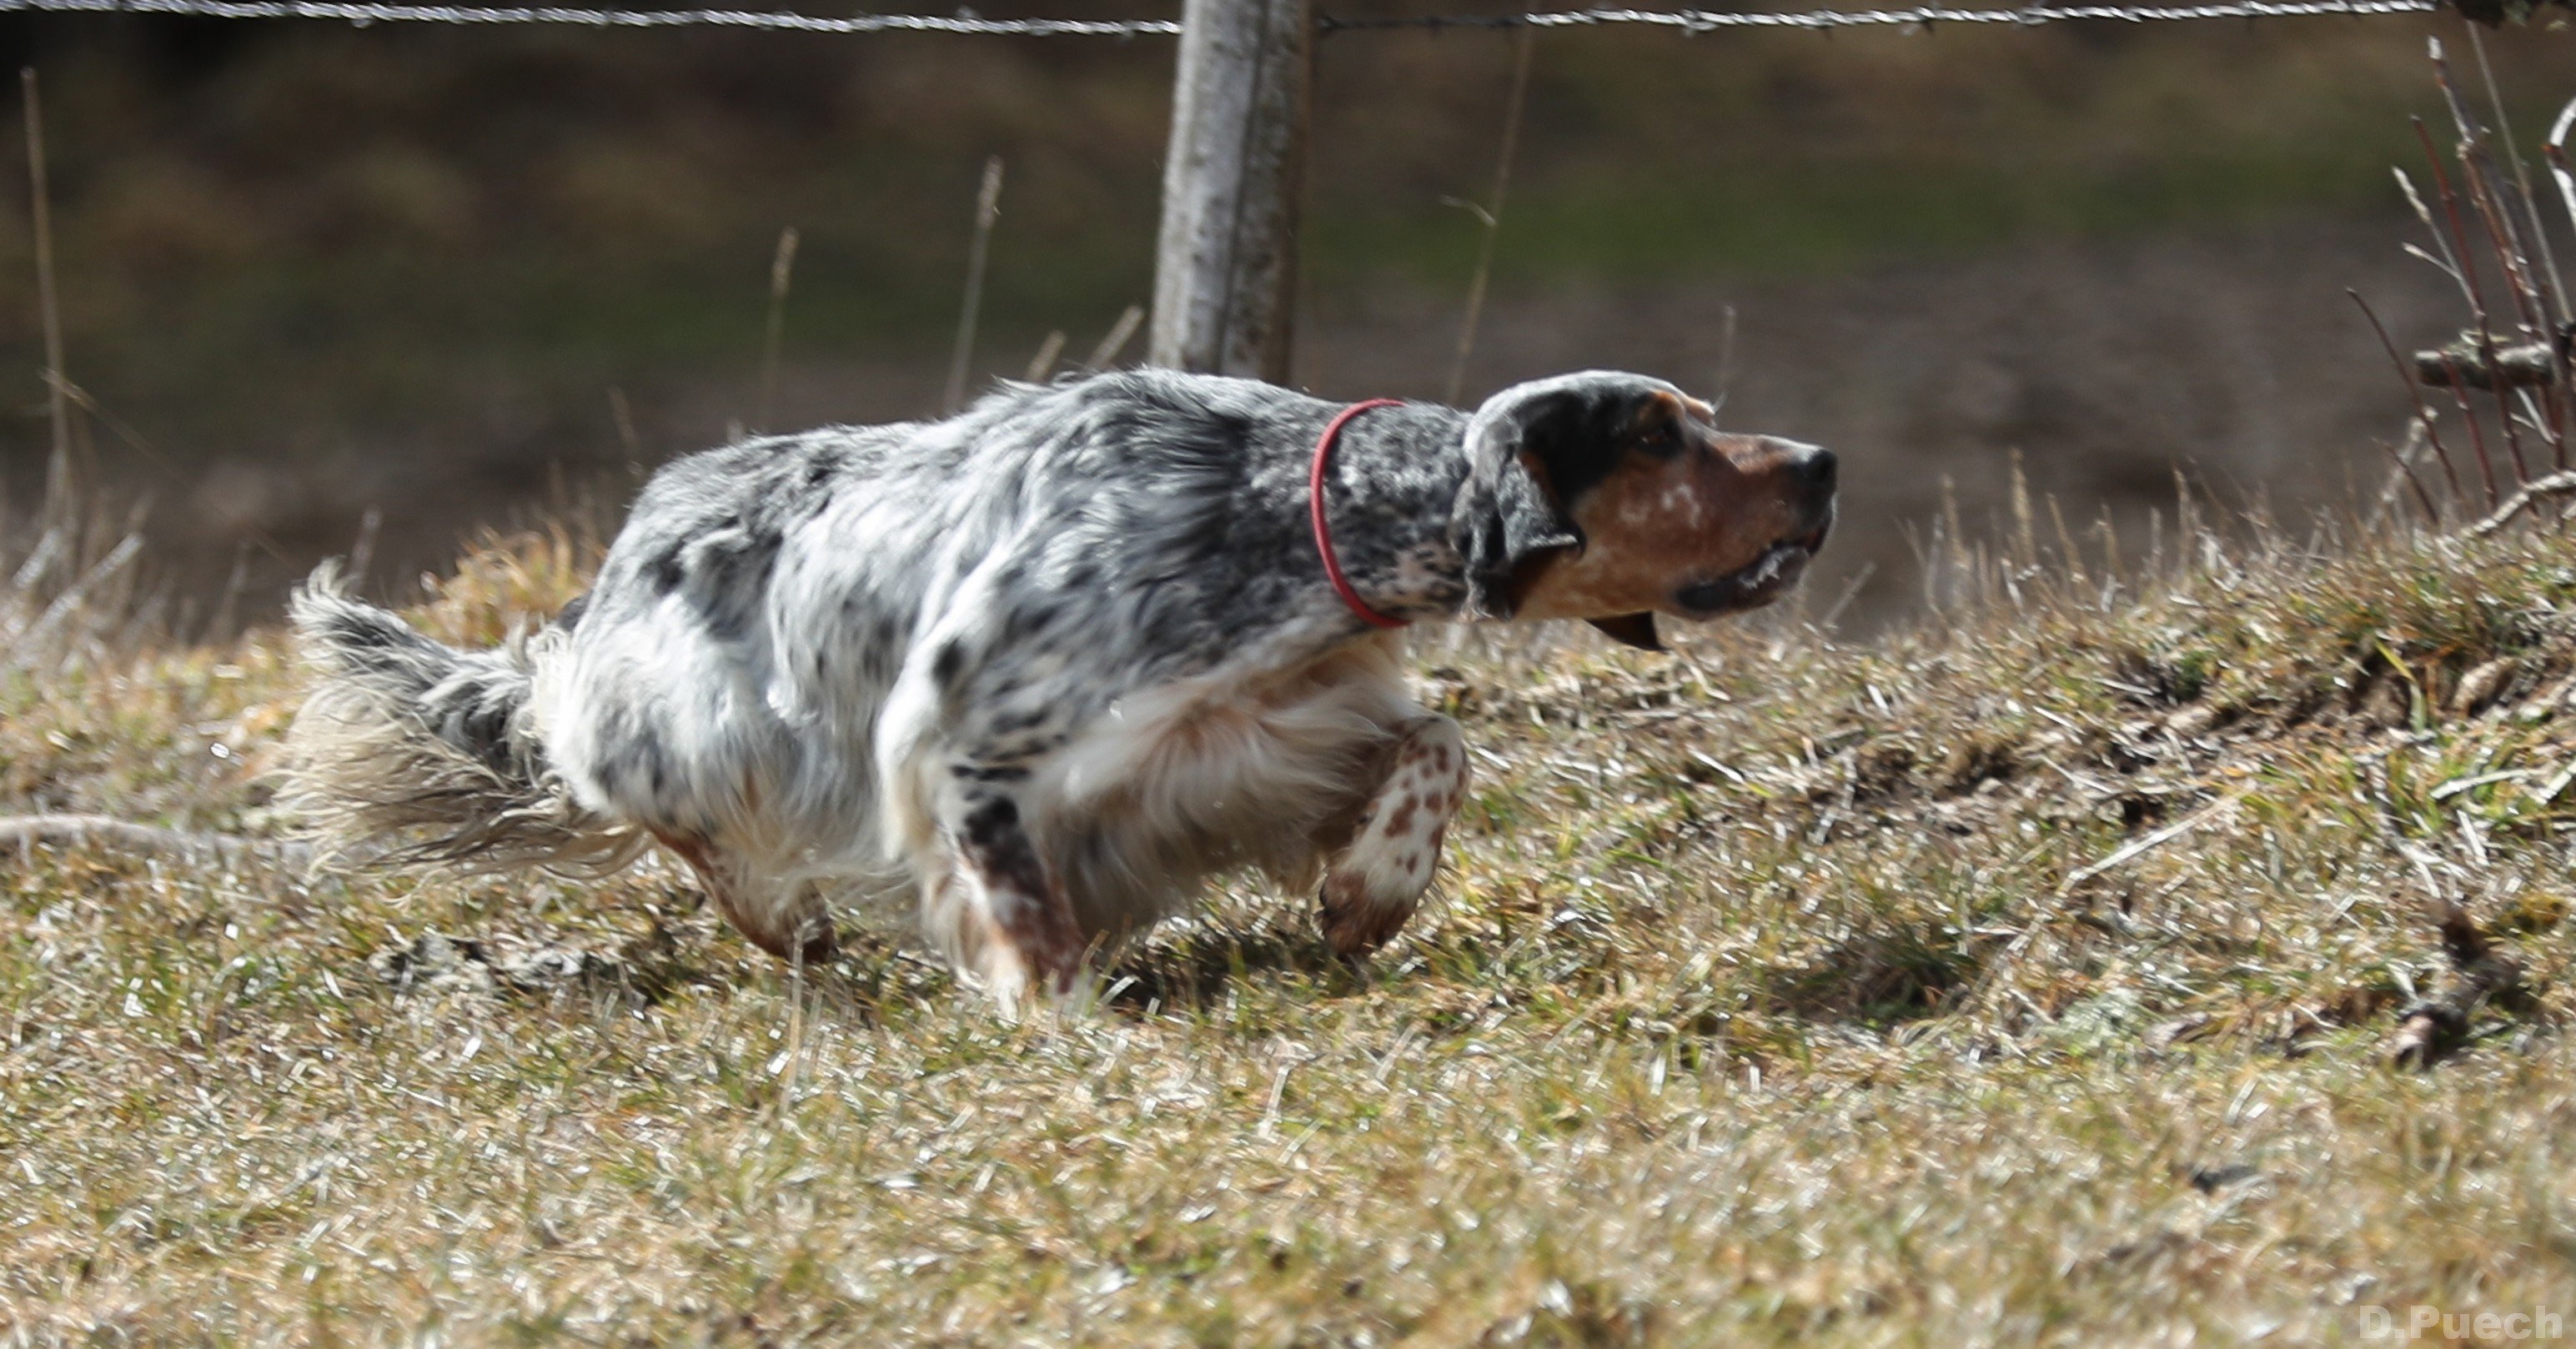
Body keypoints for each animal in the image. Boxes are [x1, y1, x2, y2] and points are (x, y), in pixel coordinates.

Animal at [287, 363, 1834, 1004]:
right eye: (1654, 436)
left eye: (1701, 420)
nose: (1820, 462)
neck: (1289, 515)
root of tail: (626, 545)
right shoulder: (962, 740)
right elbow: (1018, 904)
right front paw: (1058, 1015)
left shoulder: (1279, 729)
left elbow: (1436, 745)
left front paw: (1368, 893)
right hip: (688, 722)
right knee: (664, 805)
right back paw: (781, 917)